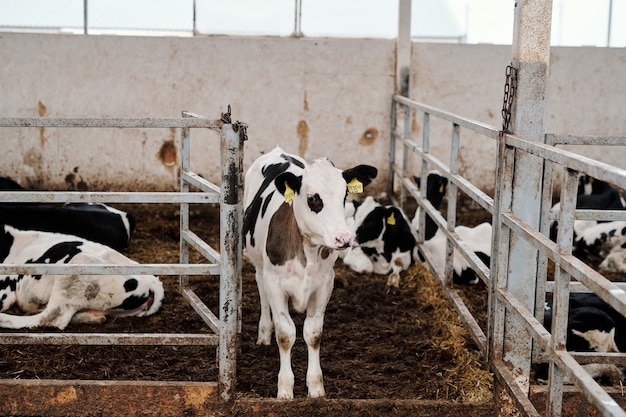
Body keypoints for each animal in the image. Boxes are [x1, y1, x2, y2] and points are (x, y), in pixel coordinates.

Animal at [240, 146, 376, 396]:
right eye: (313, 198)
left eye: (345, 195)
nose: (343, 239)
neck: (308, 252)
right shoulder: (275, 283)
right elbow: (285, 334)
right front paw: (285, 389)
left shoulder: (325, 284)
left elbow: (313, 334)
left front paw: (315, 387)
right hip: (259, 264)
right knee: (261, 290)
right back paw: (264, 332)